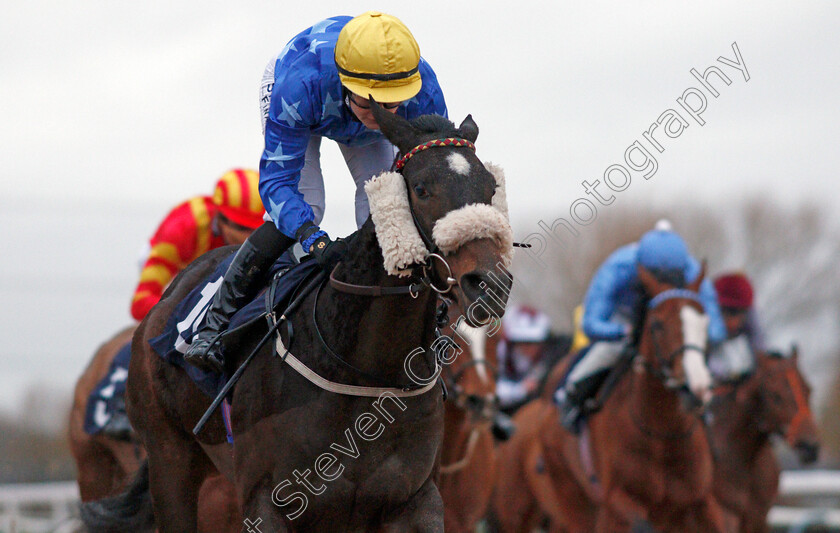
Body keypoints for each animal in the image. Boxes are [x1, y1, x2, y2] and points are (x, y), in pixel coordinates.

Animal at [492, 266, 720, 532]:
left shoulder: (701, 500)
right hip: (553, 501)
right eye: (658, 324)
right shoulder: (614, 501)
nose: (697, 386)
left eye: (704, 321)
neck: (660, 434)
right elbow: (638, 522)